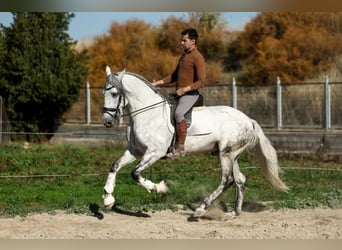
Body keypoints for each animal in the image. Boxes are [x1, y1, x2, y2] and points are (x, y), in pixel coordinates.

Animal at [102, 67, 288, 218]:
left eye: (114, 94)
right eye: (103, 92)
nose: (107, 122)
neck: (148, 114)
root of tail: (249, 120)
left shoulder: (154, 153)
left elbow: (135, 173)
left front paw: (160, 188)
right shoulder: (135, 151)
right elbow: (115, 166)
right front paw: (108, 198)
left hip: (225, 154)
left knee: (227, 180)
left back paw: (201, 208)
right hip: (232, 155)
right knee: (240, 180)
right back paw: (234, 212)